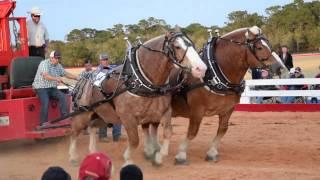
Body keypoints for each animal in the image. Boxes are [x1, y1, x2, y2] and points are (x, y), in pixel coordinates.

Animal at [68, 29, 208, 166]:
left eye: (192, 44)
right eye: (177, 46)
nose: (201, 68)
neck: (138, 80)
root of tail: (84, 79)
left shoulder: (165, 111)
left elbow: (168, 133)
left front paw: (158, 157)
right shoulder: (127, 117)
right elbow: (135, 140)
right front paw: (128, 160)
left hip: (104, 116)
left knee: (92, 127)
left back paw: (93, 152)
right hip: (83, 114)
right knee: (74, 132)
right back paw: (73, 157)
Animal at [171, 26, 286, 165]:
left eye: (269, 45)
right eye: (259, 47)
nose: (280, 68)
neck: (212, 74)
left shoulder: (227, 109)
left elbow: (223, 130)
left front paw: (212, 153)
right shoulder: (197, 111)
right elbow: (193, 132)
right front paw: (181, 155)